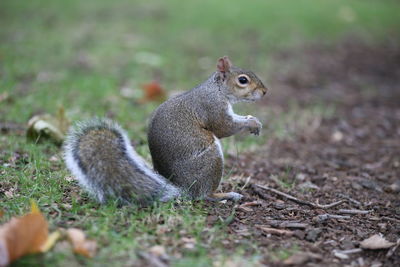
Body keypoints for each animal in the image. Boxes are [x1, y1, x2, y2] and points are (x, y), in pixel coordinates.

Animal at [63, 56, 266, 206]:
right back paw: (225, 195)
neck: (217, 89)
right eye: (242, 80)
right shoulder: (212, 107)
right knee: (202, 195)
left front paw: (253, 120)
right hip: (211, 160)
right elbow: (224, 127)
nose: (265, 92)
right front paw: (251, 123)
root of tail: (182, 189)